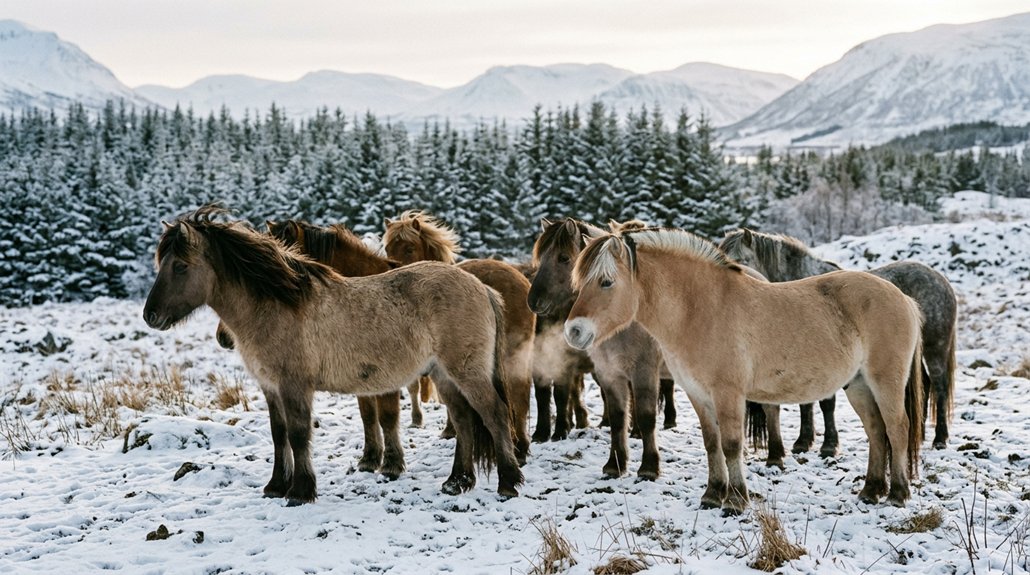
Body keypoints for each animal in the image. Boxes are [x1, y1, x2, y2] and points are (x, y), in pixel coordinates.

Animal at [528, 217, 674, 479]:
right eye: (540, 257)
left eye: (563, 258)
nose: (534, 301)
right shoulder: (608, 371)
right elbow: (617, 417)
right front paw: (615, 465)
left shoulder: (644, 371)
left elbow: (647, 416)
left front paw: (649, 467)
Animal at [564, 227, 923, 515]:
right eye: (578, 283)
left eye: (606, 282)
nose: (574, 331)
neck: (701, 310)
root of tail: (903, 298)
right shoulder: (698, 394)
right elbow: (712, 444)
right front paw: (712, 495)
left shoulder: (728, 393)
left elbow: (732, 444)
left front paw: (736, 500)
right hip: (859, 385)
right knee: (876, 431)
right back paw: (871, 491)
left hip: (885, 381)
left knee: (897, 428)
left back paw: (897, 494)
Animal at [720, 229, 957, 451]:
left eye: (741, 260)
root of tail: (940, 279)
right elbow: (805, 403)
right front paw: (803, 441)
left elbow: (826, 404)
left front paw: (829, 445)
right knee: (924, 384)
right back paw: (921, 434)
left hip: (935, 348)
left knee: (939, 386)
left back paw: (939, 438)